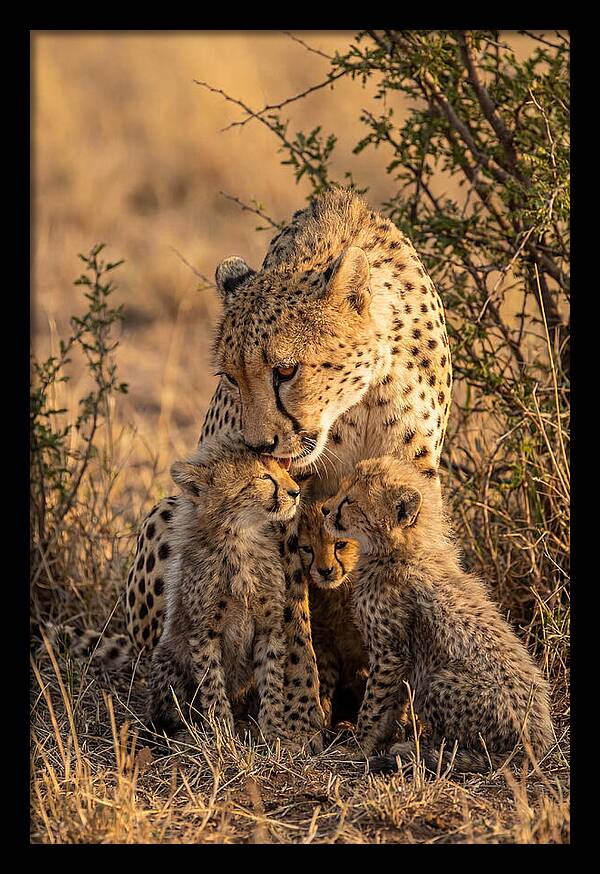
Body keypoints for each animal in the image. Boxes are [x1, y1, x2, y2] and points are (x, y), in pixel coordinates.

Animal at [146, 434, 301, 743]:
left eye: (283, 470)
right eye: (264, 477)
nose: (296, 492)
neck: (240, 539)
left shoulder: (270, 627)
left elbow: (272, 680)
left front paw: (274, 732)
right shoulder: (204, 631)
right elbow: (212, 683)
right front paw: (221, 733)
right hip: (167, 658)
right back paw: (186, 732)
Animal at [322, 456, 554, 773]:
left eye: (350, 501)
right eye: (341, 490)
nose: (324, 509)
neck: (400, 550)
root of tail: (539, 741)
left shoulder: (391, 653)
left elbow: (374, 704)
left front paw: (359, 746)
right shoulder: (398, 658)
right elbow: (391, 705)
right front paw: (382, 738)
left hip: (438, 680)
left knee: (470, 749)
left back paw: (421, 751)